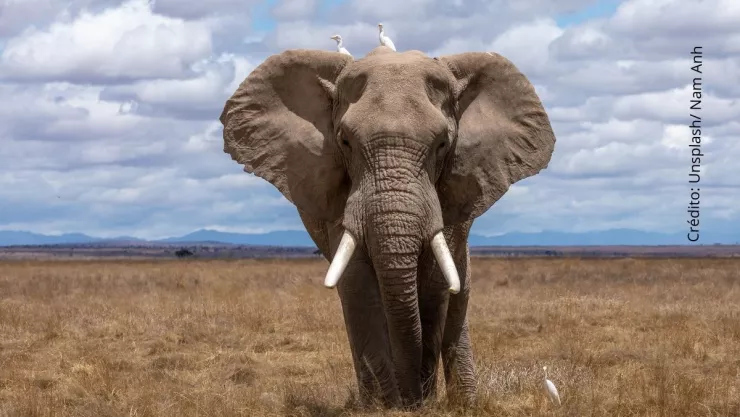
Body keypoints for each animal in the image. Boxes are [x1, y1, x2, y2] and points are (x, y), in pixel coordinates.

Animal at [219, 46, 556, 410]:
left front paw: (419, 402)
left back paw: (464, 403)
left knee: (458, 295)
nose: (413, 400)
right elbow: (357, 284)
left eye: (442, 144)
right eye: (345, 142)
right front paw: (384, 406)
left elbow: (435, 286)